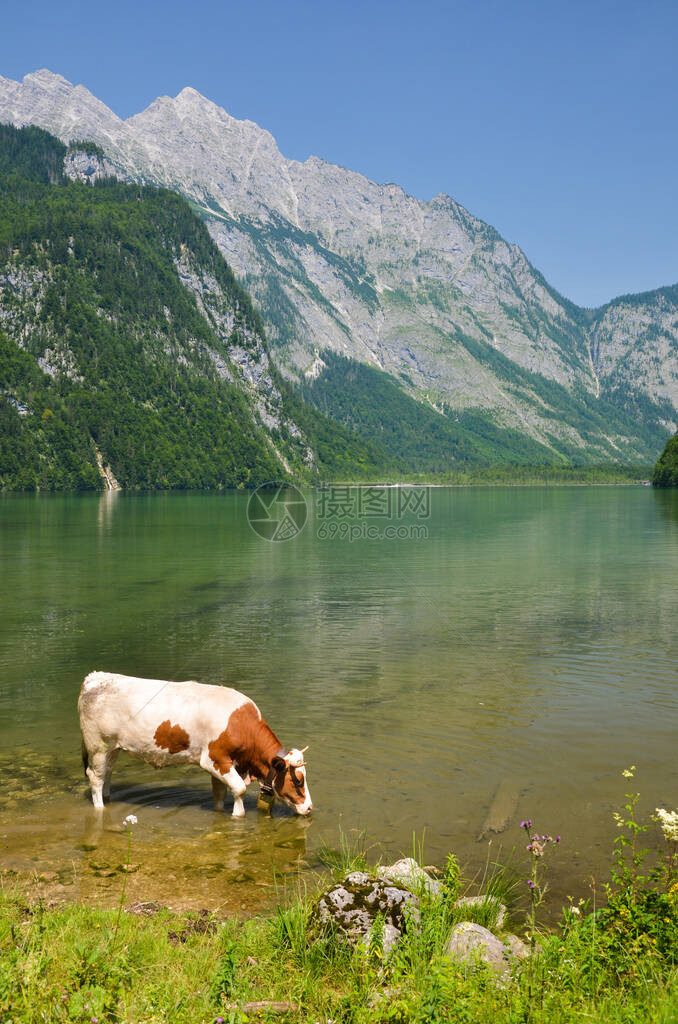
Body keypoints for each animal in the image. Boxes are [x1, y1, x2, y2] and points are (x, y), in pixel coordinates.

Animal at [78, 671, 313, 815]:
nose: (310, 808)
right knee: (95, 777)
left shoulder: (221, 764)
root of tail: (95, 677)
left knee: (106, 774)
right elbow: (239, 790)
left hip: (112, 748)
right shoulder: (214, 759)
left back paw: (108, 799)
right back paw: (100, 808)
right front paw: (238, 815)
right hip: (98, 746)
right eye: (299, 781)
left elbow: (219, 794)